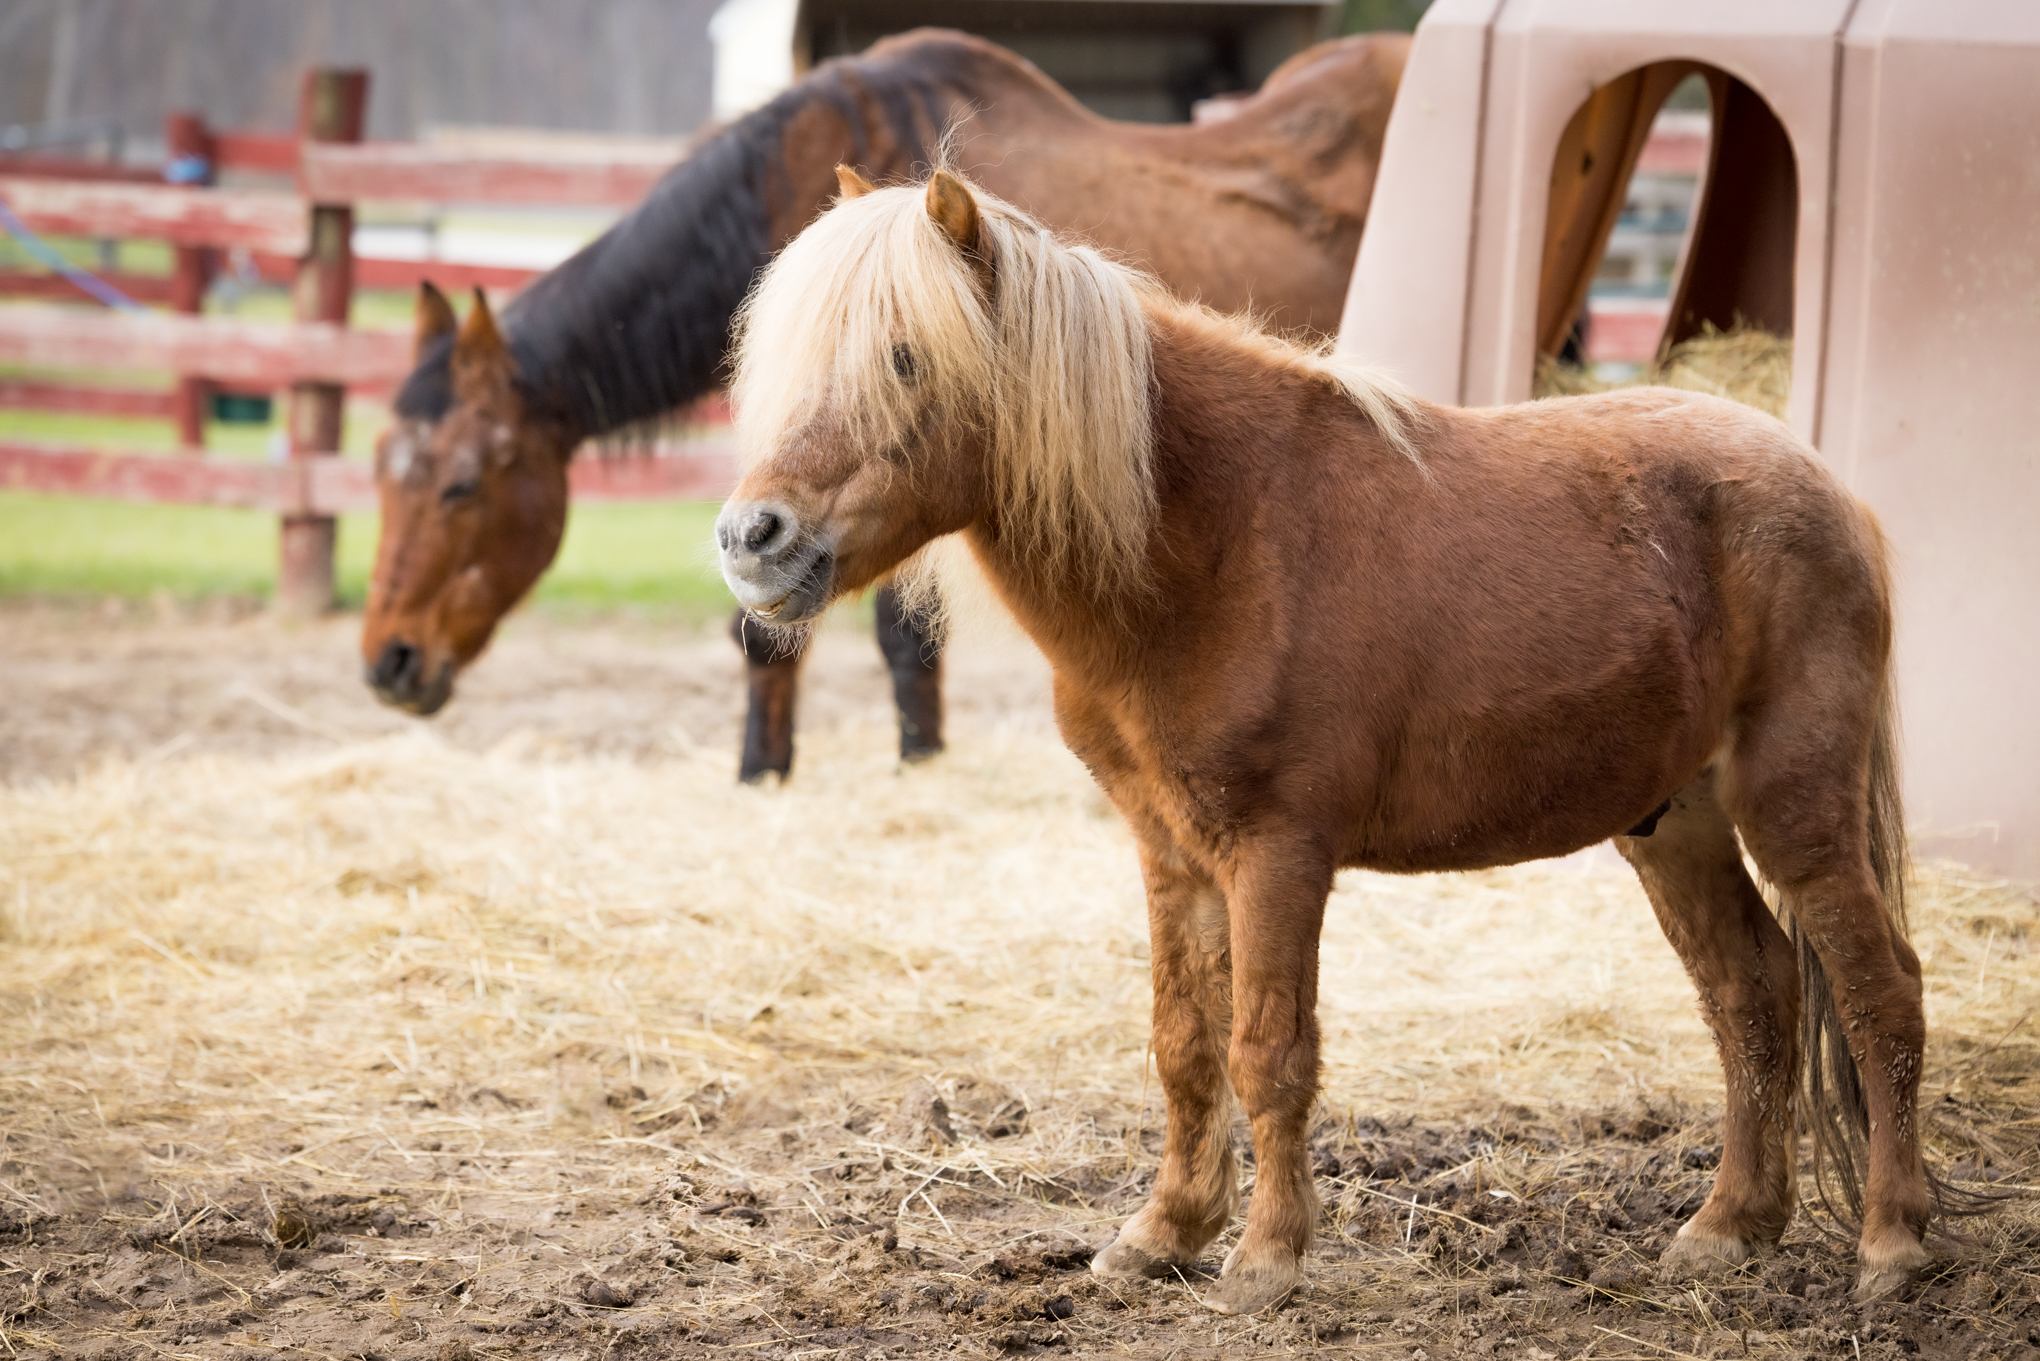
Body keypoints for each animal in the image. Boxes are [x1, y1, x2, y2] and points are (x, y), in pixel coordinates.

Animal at [359, 26, 1409, 781]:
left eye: (461, 484)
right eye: (381, 473)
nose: (388, 662)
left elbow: (900, 642)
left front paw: (913, 763)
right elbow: (768, 628)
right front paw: (764, 772)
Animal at [713, 168, 1935, 1314]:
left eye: (906, 358)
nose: (750, 538)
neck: (1218, 541)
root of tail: (1835, 493)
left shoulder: (1278, 854)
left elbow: (1268, 1052)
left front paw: (1264, 1258)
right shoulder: (1173, 853)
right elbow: (1184, 1043)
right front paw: (1163, 1233)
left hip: (1796, 811)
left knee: (1879, 990)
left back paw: (1891, 1242)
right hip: (1673, 823)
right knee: (1752, 995)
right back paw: (1729, 1228)